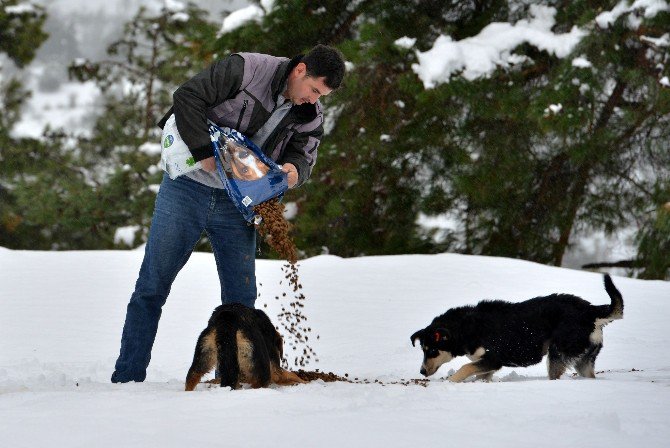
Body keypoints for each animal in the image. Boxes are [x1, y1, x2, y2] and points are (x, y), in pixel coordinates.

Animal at [412, 274, 628, 384]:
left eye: (432, 351)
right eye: (423, 350)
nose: (422, 371)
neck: (466, 328)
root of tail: (590, 311)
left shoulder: (493, 359)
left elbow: (465, 368)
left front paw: (451, 381)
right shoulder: (487, 365)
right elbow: (479, 375)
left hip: (556, 354)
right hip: (583, 361)